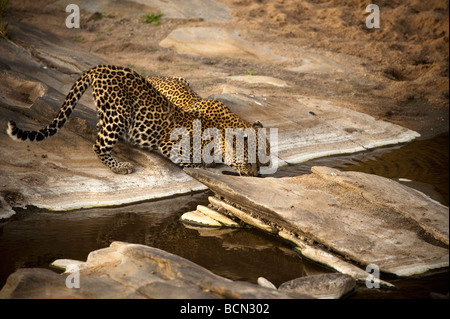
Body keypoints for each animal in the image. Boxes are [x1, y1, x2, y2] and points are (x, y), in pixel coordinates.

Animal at [7, 63, 268, 176]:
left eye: (261, 161)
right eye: (248, 161)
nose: (256, 177)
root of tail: (100, 67)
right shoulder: (173, 147)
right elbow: (195, 163)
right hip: (118, 112)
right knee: (98, 145)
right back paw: (121, 166)